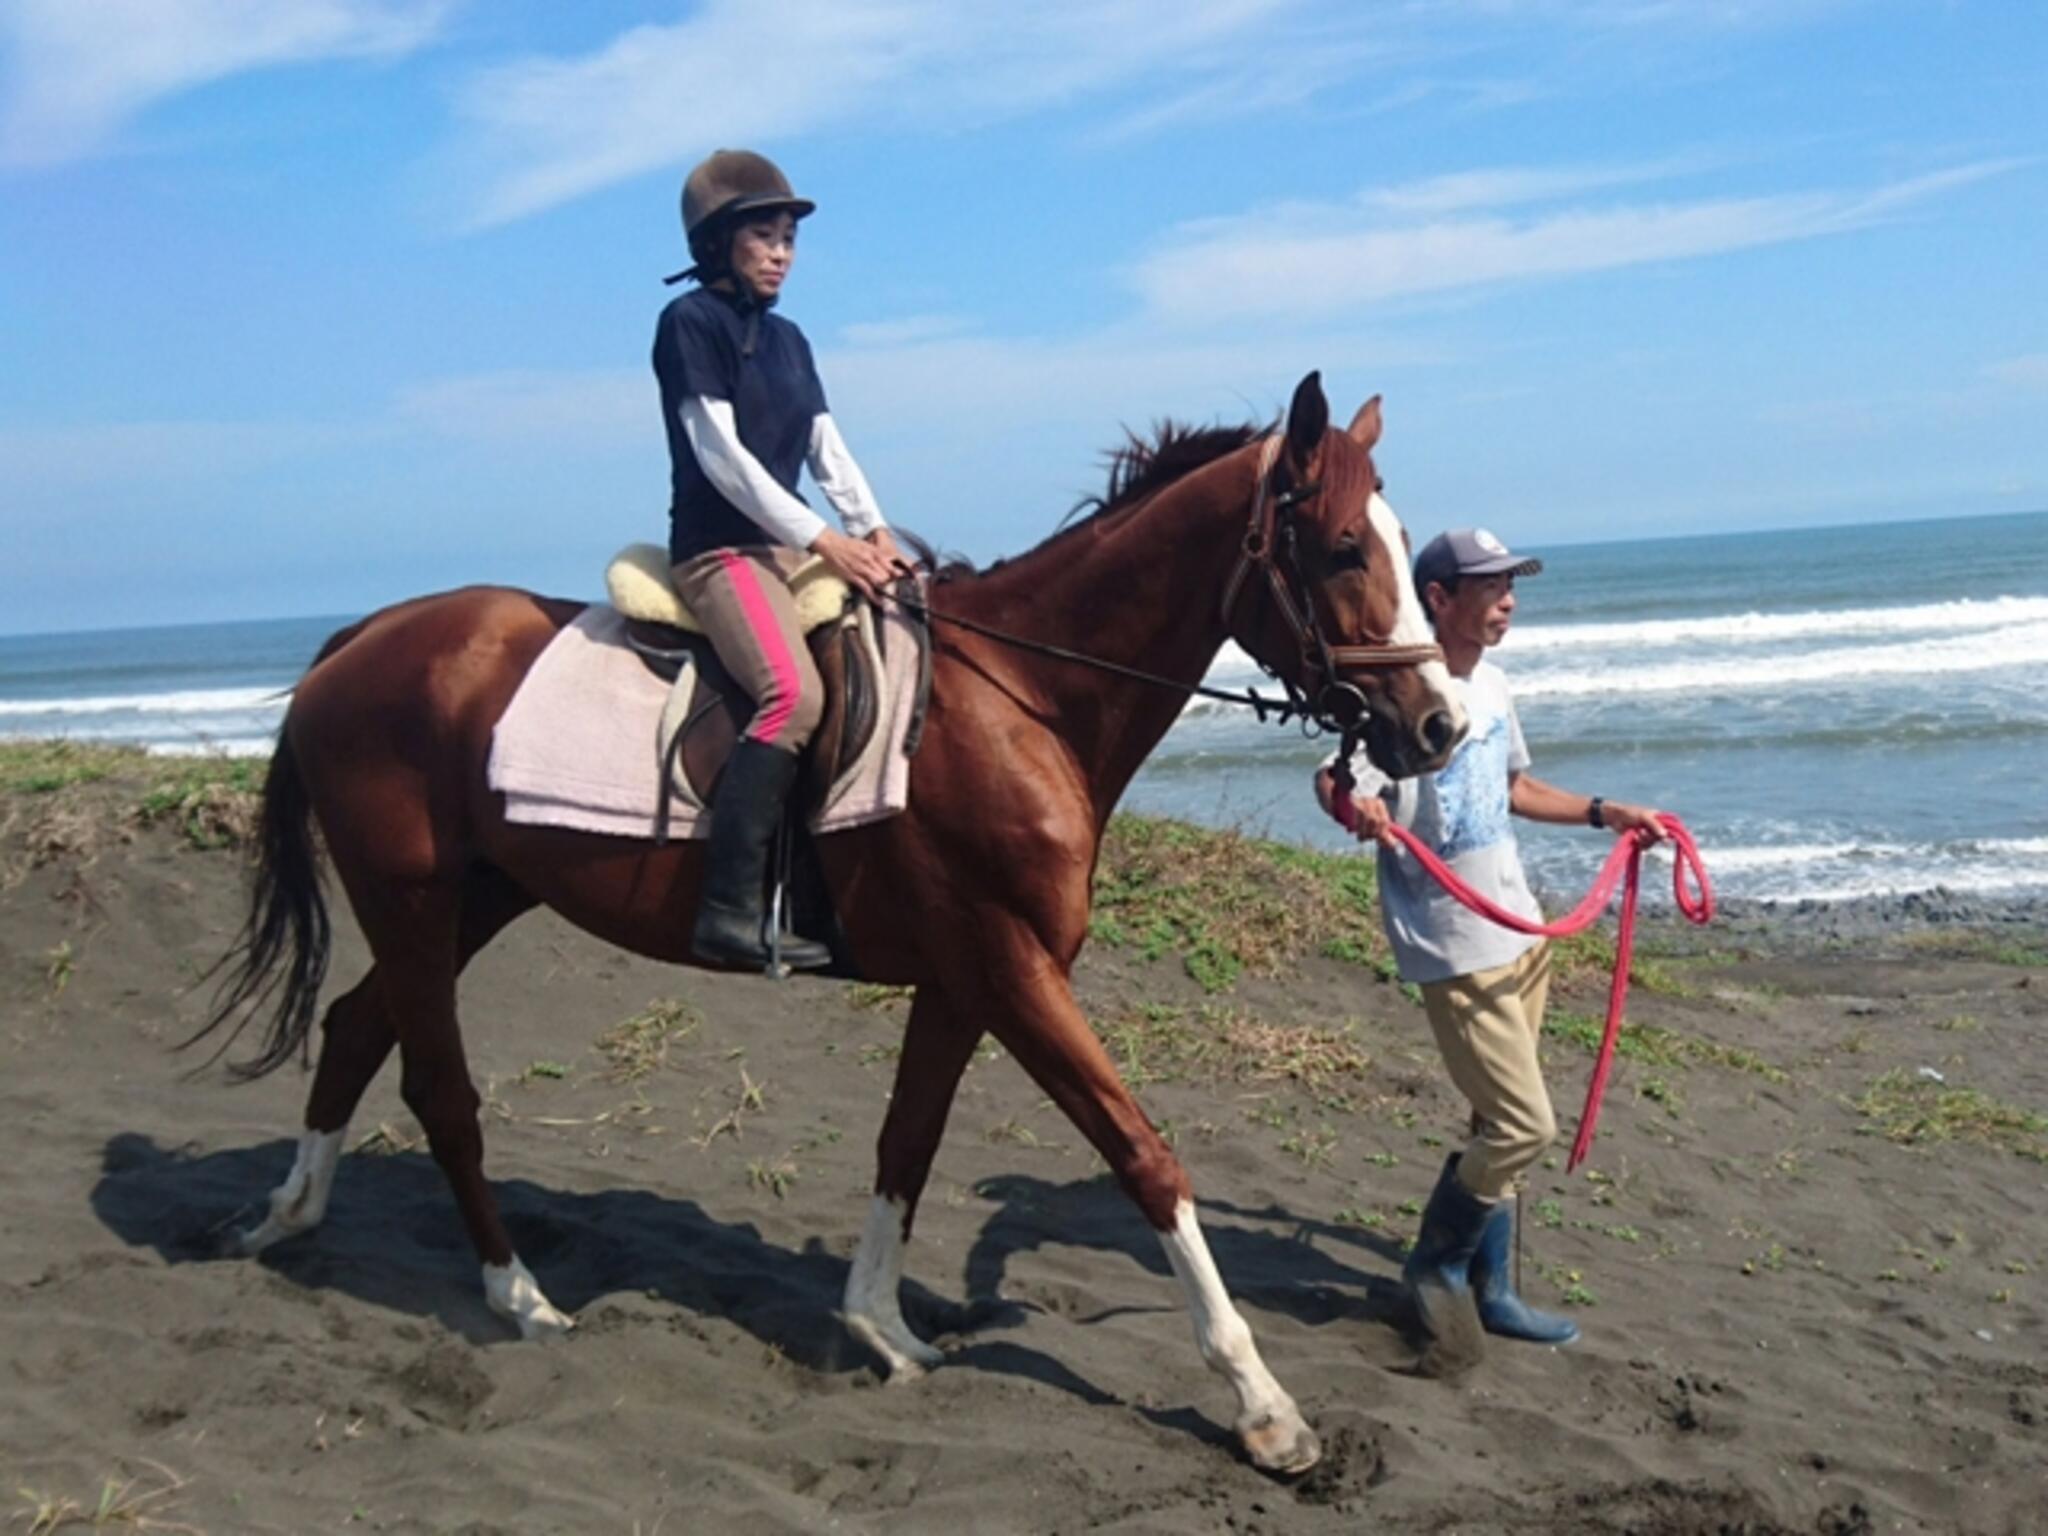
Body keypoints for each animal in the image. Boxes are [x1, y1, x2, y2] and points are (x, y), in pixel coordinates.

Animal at [203, 372, 1458, 1482]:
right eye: (1341, 548)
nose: (1437, 726)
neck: (1018, 702)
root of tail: (359, 640)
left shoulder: (963, 979)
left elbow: (907, 1142)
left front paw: (877, 1328)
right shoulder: (1011, 969)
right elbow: (1142, 1156)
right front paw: (1264, 1409)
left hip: (474, 896)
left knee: (356, 1026)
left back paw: (283, 1218)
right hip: (414, 902)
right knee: (437, 1086)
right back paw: (518, 1297)